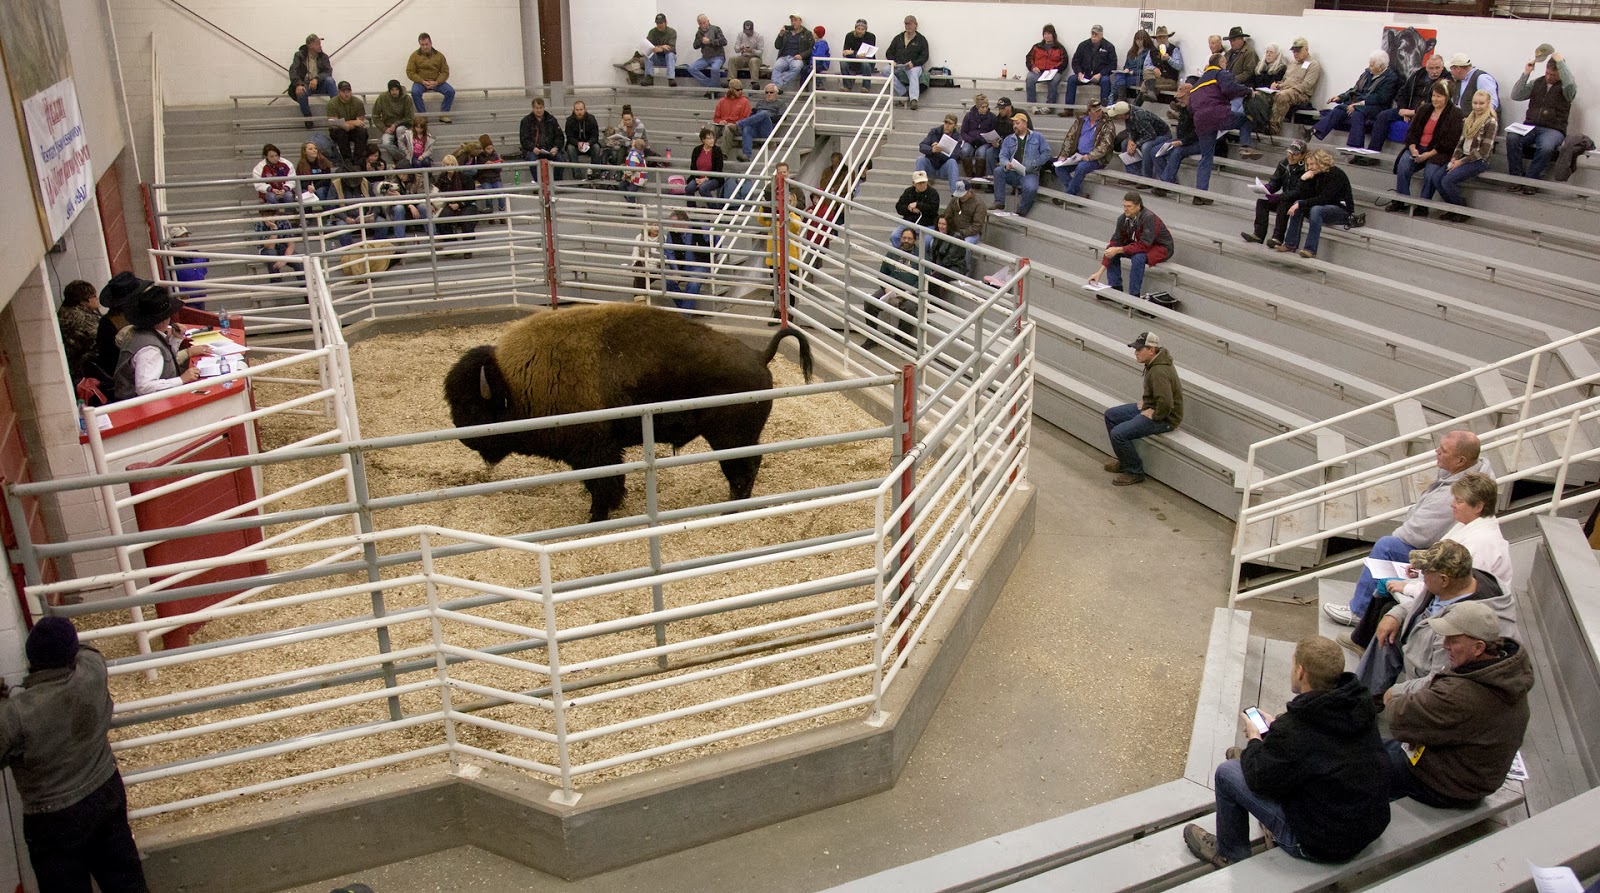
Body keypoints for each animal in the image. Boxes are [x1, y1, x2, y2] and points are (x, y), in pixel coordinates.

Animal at [443, 304, 814, 522]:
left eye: (473, 405)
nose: (464, 439)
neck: (515, 383)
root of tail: (759, 355)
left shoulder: (593, 453)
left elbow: (602, 484)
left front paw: (596, 516)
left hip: (730, 438)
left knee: (742, 469)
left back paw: (730, 508)